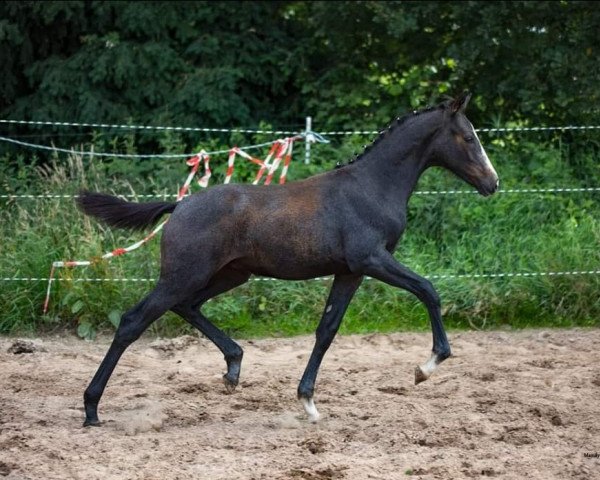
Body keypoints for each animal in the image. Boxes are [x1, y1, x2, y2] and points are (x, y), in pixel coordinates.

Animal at [77, 93, 496, 424]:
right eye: (469, 137)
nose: (493, 183)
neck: (372, 187)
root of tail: (179, 205)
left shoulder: (350, 272)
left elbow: (327, 330)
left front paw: (308, 401)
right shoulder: (371, 260)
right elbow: (428, 290)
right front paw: (427, 366)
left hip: (230, 275)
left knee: (187, 306)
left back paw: (233, 367)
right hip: (184, 274)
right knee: (133, 321)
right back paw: (92, 408)